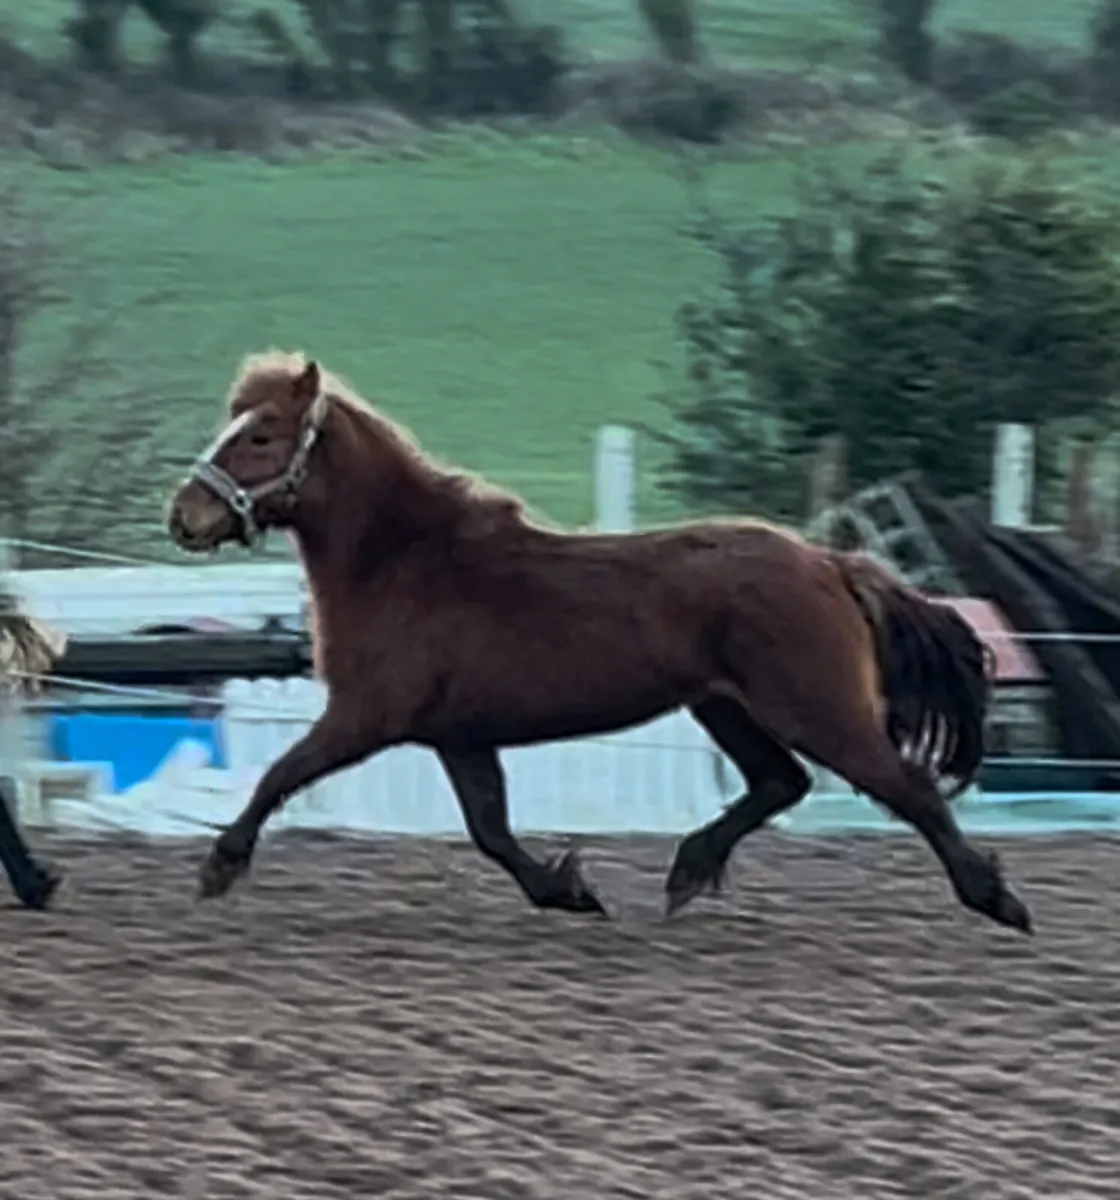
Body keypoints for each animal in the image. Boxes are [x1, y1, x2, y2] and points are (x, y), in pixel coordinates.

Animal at [167, 350, 1031, 935]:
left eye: (262, 435)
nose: (184, 516)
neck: (405, 559)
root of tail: (829, 561)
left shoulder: (366, 717)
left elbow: (281, 774)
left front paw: (219, 866)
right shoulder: (459, 737)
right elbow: (491, 832)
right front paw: (568, 889)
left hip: (817, 711)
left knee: (905, 789)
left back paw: (998, 900)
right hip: (726, 708)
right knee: (779, 783)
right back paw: (687, 872)